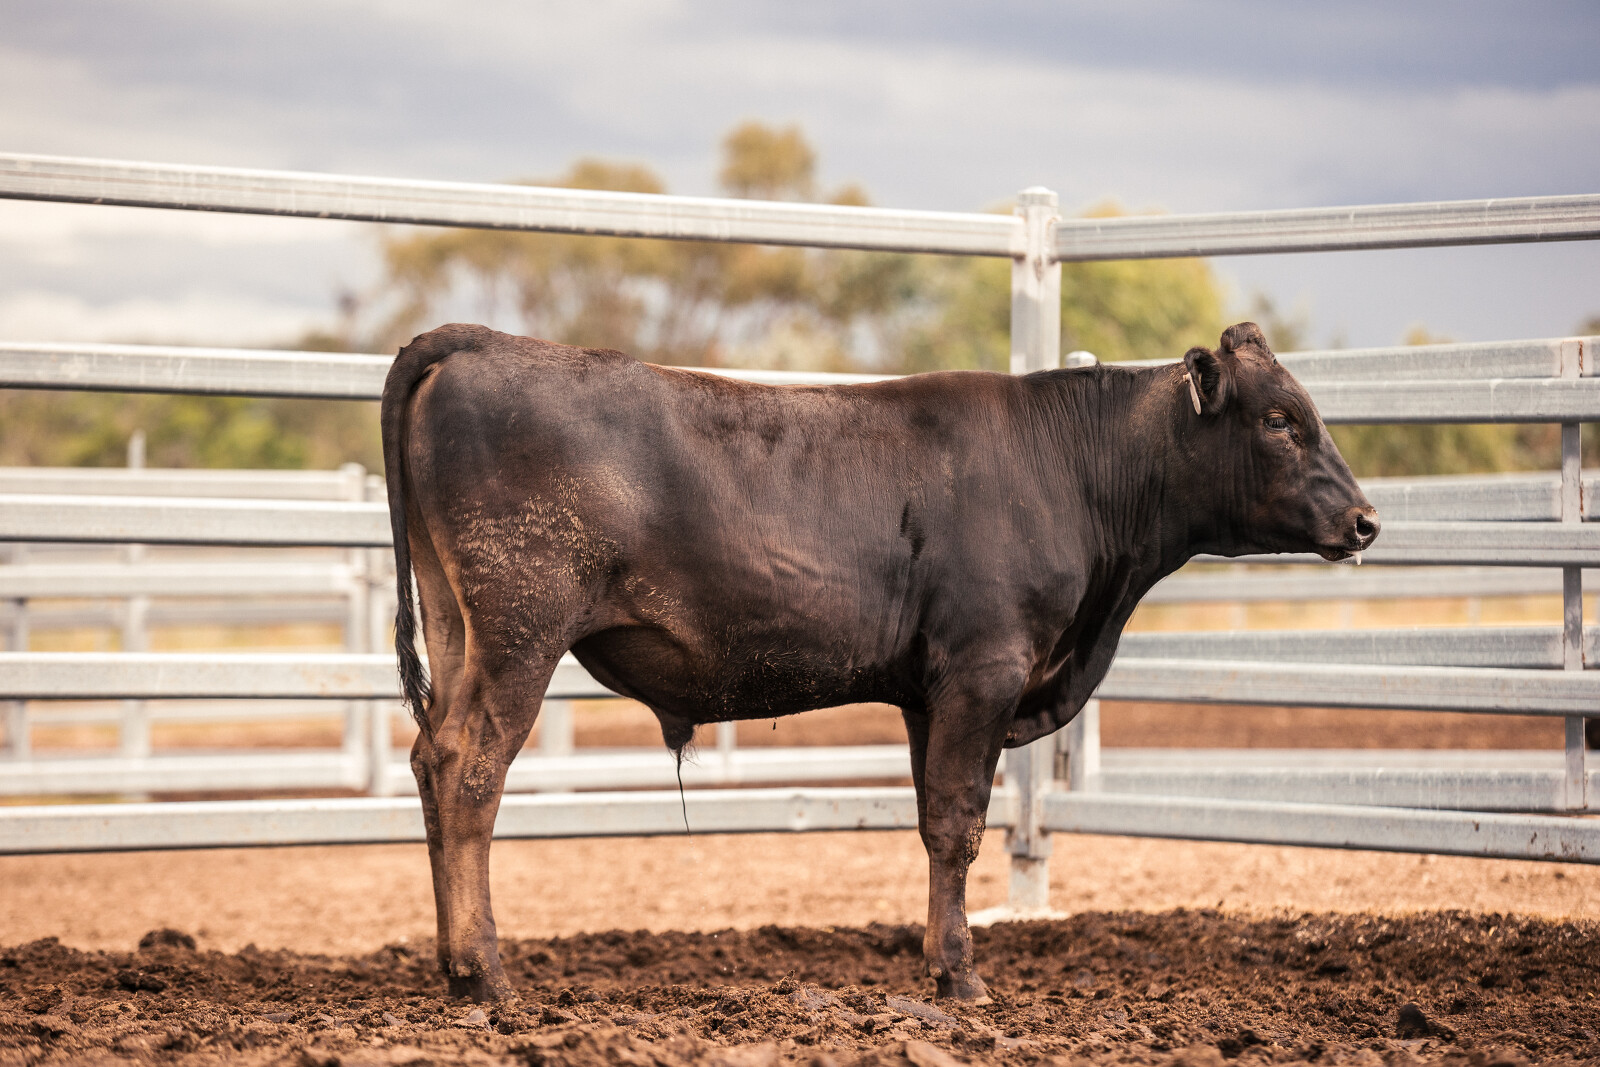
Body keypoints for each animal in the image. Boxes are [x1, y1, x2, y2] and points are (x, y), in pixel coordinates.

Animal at [379, 320, 1378, 1004]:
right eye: (1281, 420)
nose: (1365, 519)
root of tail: (481, 343)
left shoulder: (926, 692)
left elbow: (934, 823)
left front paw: (940, 965)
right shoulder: (984, 669)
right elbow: (961, 824)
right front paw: (962, 978)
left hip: (459, 622)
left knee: (432, 758)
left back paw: (453, 967)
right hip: (521, 627)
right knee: (471, 771)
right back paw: (486, 975)